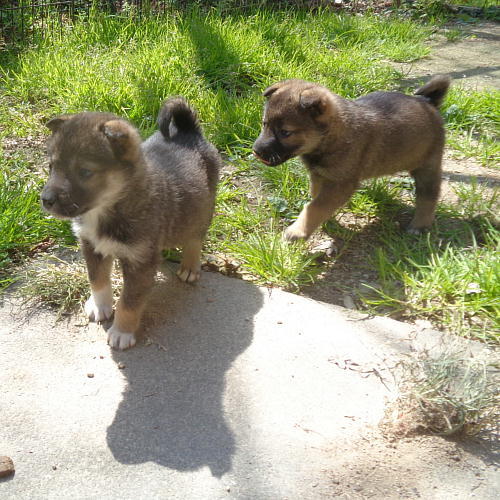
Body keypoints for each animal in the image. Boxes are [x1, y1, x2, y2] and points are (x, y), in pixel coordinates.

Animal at [41, 98, 221, 349]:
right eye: (51, 166)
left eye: (85, 171)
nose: (46, 200)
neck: (109, 207)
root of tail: (188, 132)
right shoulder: (91, 246)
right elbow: (97, 280)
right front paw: (100, 306)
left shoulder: (140, 262)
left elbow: (129, 302)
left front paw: (121, 332)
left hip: (203, 206)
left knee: (195, 238)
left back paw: (189, 267)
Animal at [253, 76, 451, 241]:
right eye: (264, 124)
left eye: (285, 132)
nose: (256, 150)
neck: (332, 135)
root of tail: (427, 101)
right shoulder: (319, 176)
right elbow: (316, 199)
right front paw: (325, 221)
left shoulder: (340, 184)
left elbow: (315, 207)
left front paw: (297, 230)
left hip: (427, 165)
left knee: (429, 195)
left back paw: (419, 225)